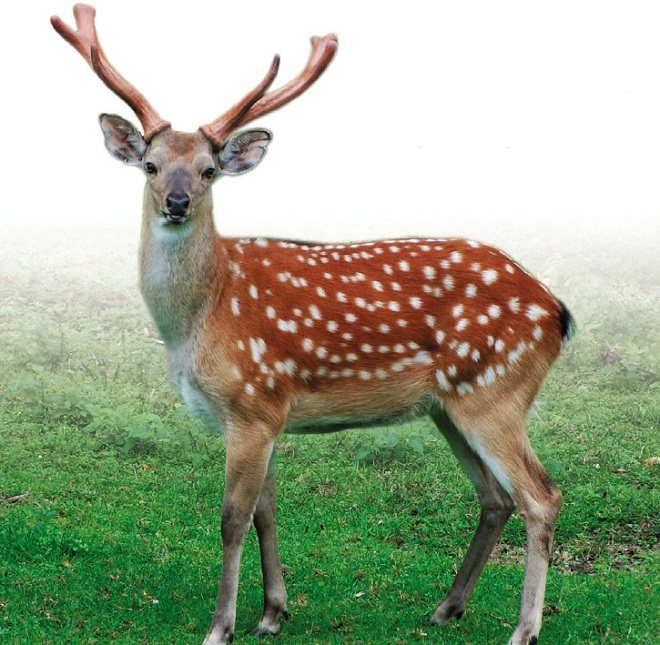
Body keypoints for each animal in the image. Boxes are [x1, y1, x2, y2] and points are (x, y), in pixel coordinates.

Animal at [51, 5, 574, 644]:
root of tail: (556, 311)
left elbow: (232, 518)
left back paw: (523, 630)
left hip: (496, 392)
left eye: (208, 170)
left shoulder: (251, 402)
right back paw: (446, 607)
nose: (176, 202)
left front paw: (220, 627)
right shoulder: (267, 413)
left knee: (542, 496)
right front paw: (272, 613)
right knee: (495, 496)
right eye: (150, 165)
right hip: (450, 405)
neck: (199, 320)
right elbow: (265, 511)